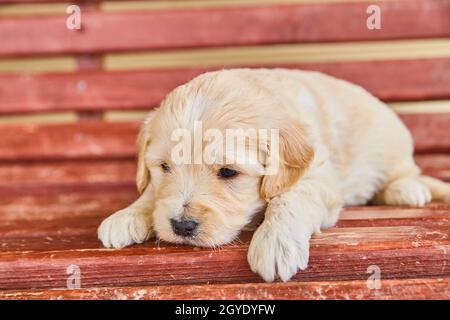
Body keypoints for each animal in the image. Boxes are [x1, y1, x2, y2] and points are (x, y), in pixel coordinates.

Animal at [98, 69, 450, 282]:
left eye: (228, 172)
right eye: (164, 168)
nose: (182, 226)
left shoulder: (319, 177)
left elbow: (290, 197)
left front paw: (276, 242)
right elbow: (150, 193)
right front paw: (127, 214)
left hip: (393, 144)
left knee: (407, 171)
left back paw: (407, 189)